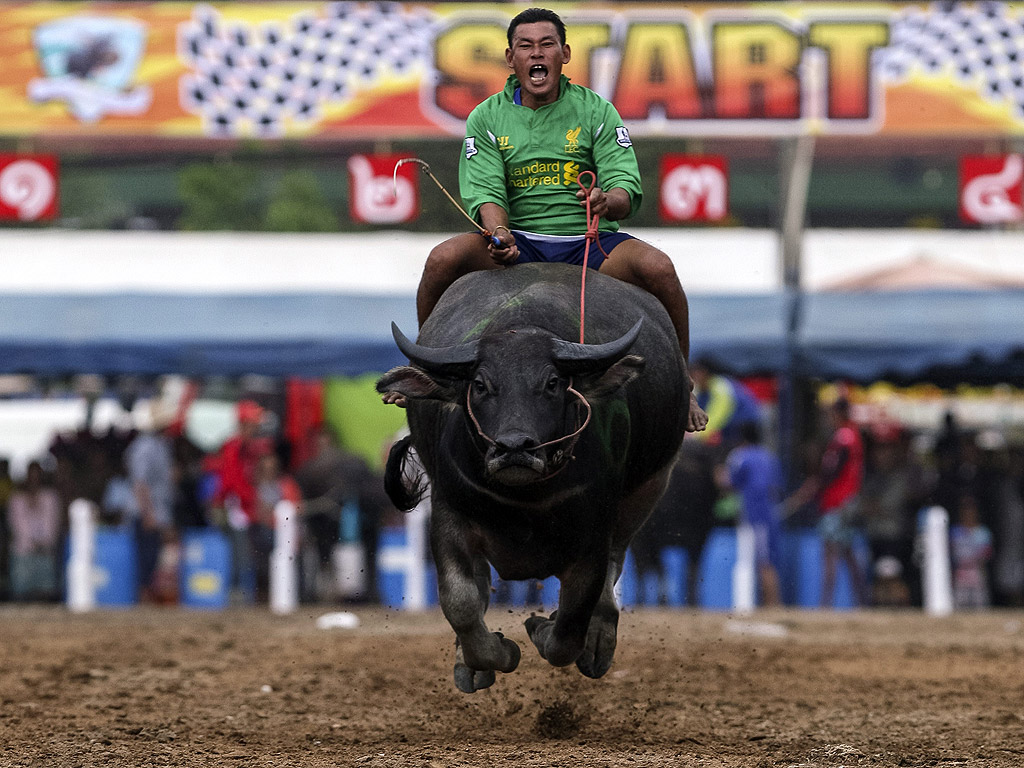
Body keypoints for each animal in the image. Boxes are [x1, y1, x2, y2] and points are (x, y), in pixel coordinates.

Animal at [376, 262, 688, 696]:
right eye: (480, 384)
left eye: (552, 383)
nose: (514, 447)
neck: (526, 500)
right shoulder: (448, 514)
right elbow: (461, 601)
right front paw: (495, 654)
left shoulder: (594, 531)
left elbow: (570, 625)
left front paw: (541, 627)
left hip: (648, 490)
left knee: (613, 570)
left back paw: (598, 642)